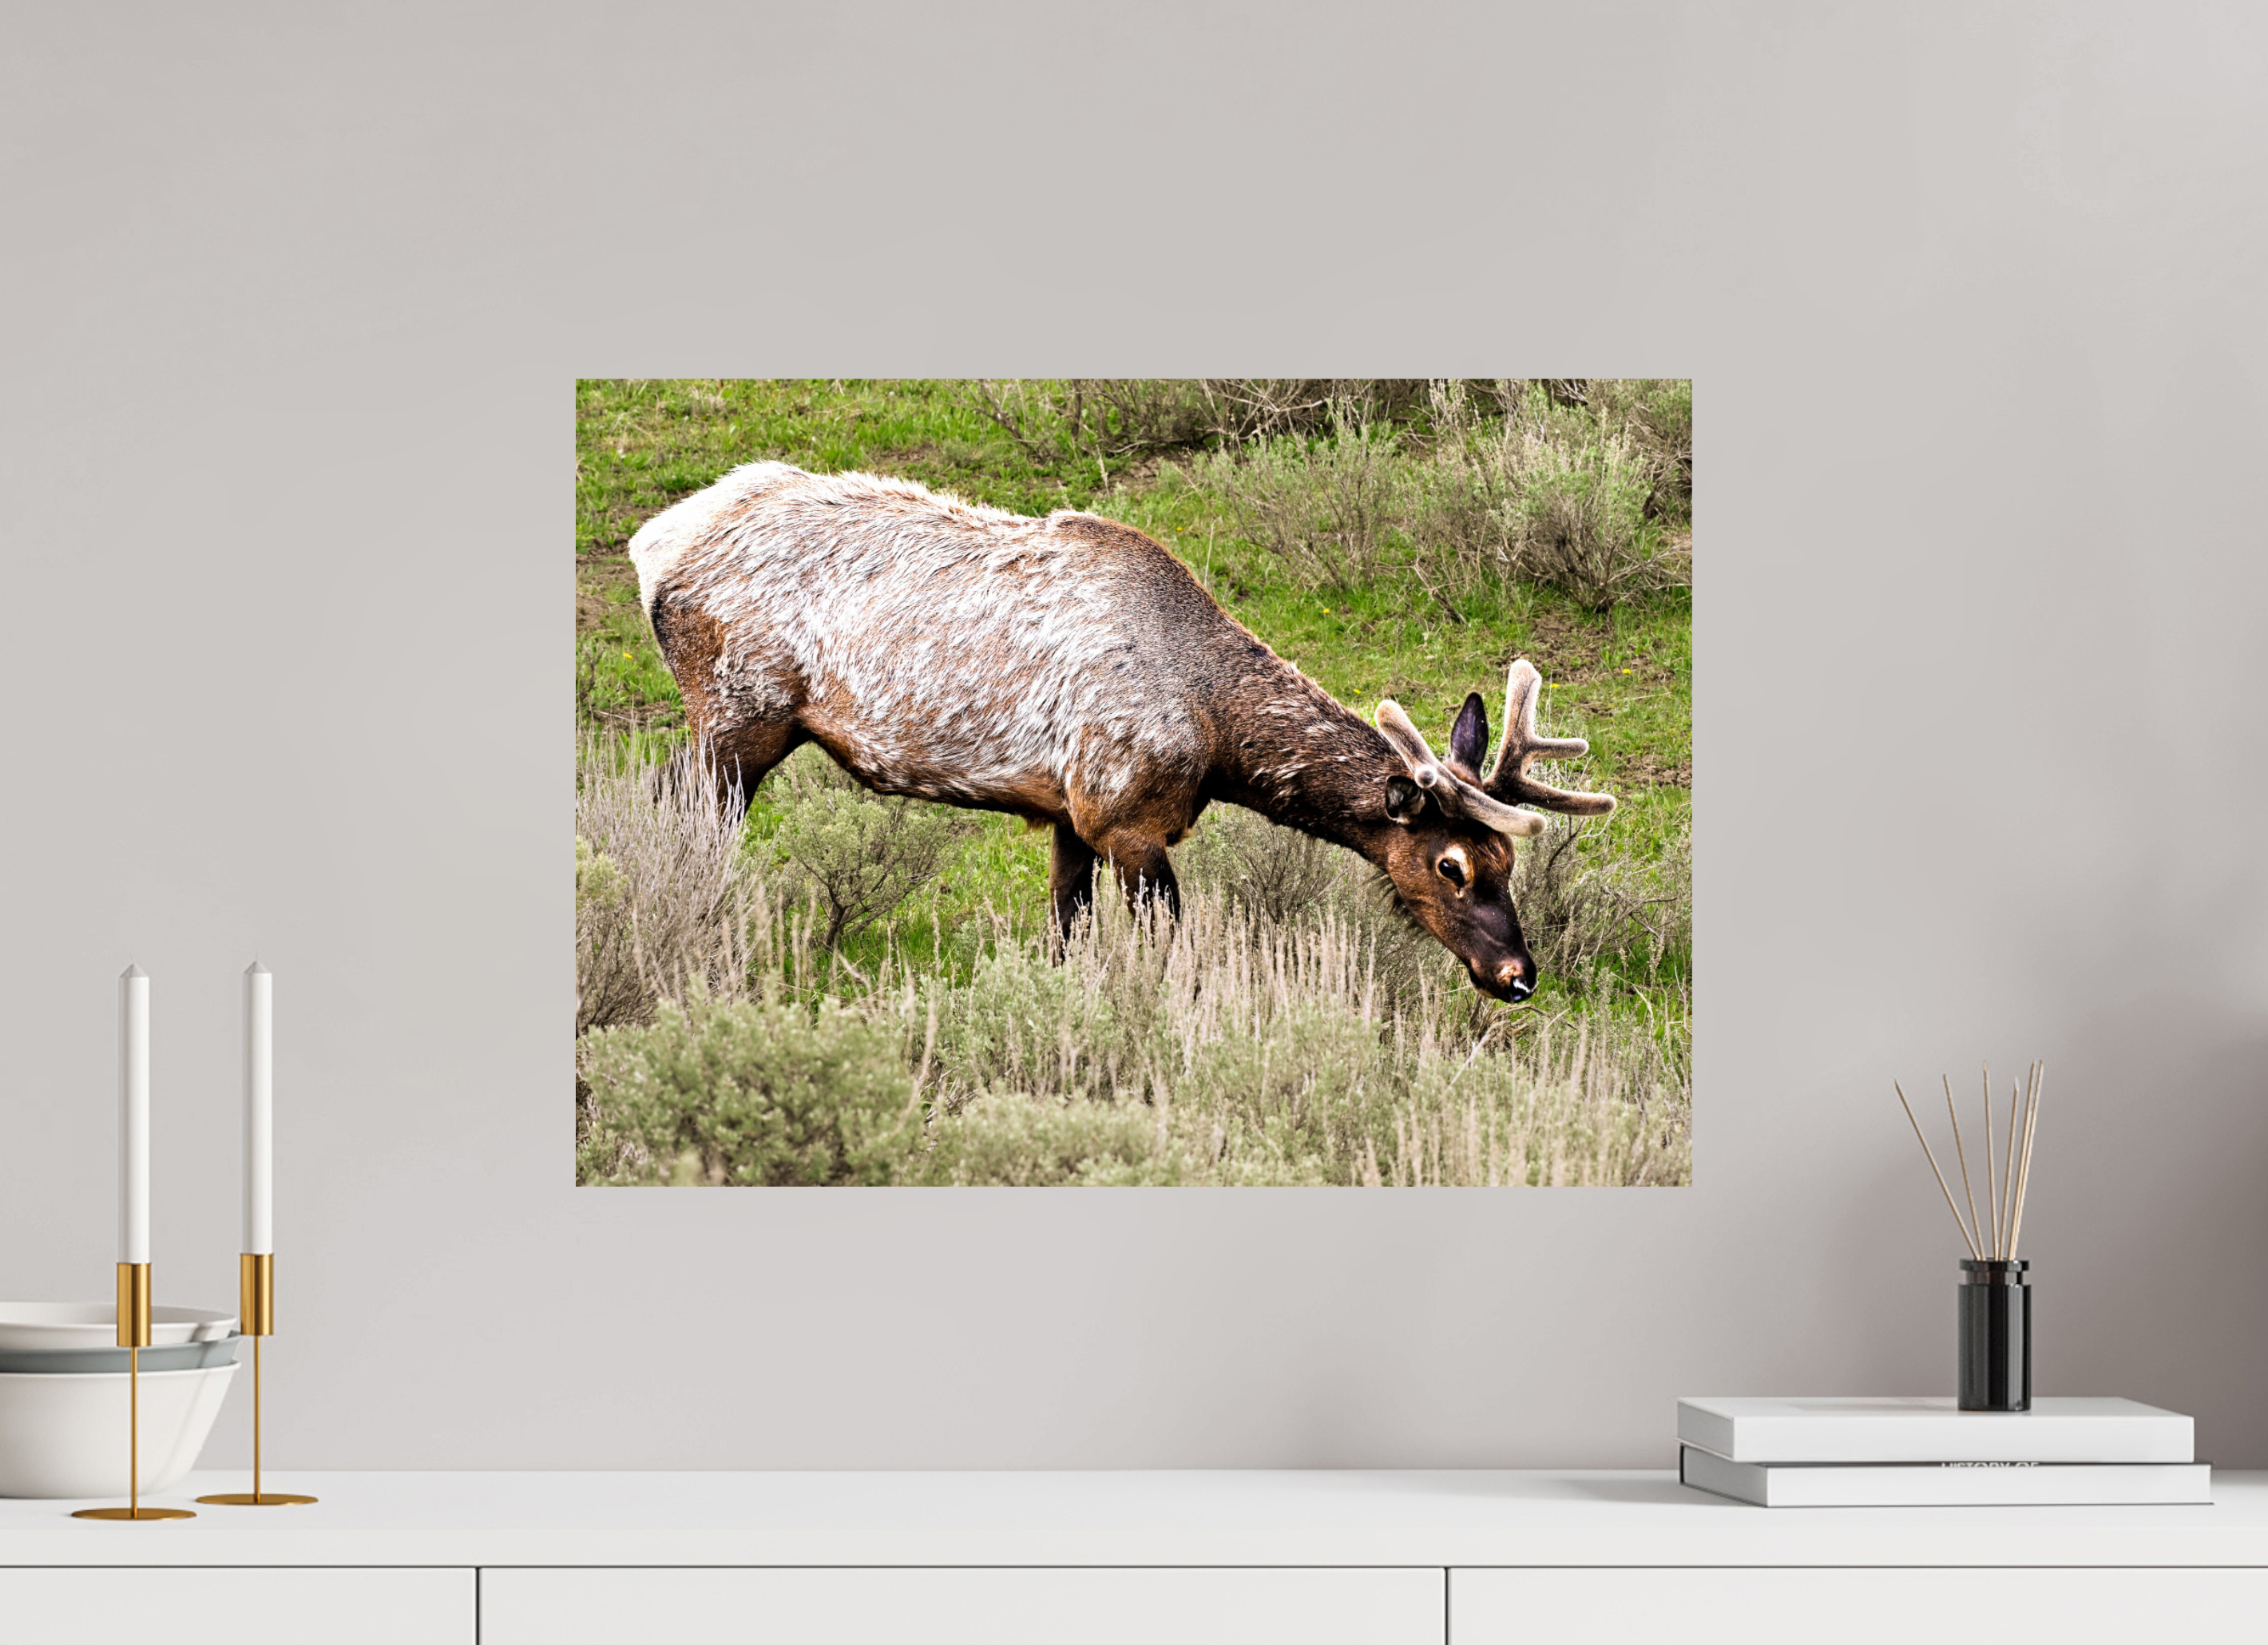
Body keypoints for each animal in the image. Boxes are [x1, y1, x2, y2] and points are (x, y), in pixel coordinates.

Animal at [627, 462, 1615, 1002]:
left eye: (1507, 860)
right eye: (1449, 865)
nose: (1517, 972)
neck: (1216, 740)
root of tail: (652, 548)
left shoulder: (1071, 810)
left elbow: (1066, 932)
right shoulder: (1127, 813)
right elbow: (1176, 949)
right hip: (740, 711)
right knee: (681, 815)